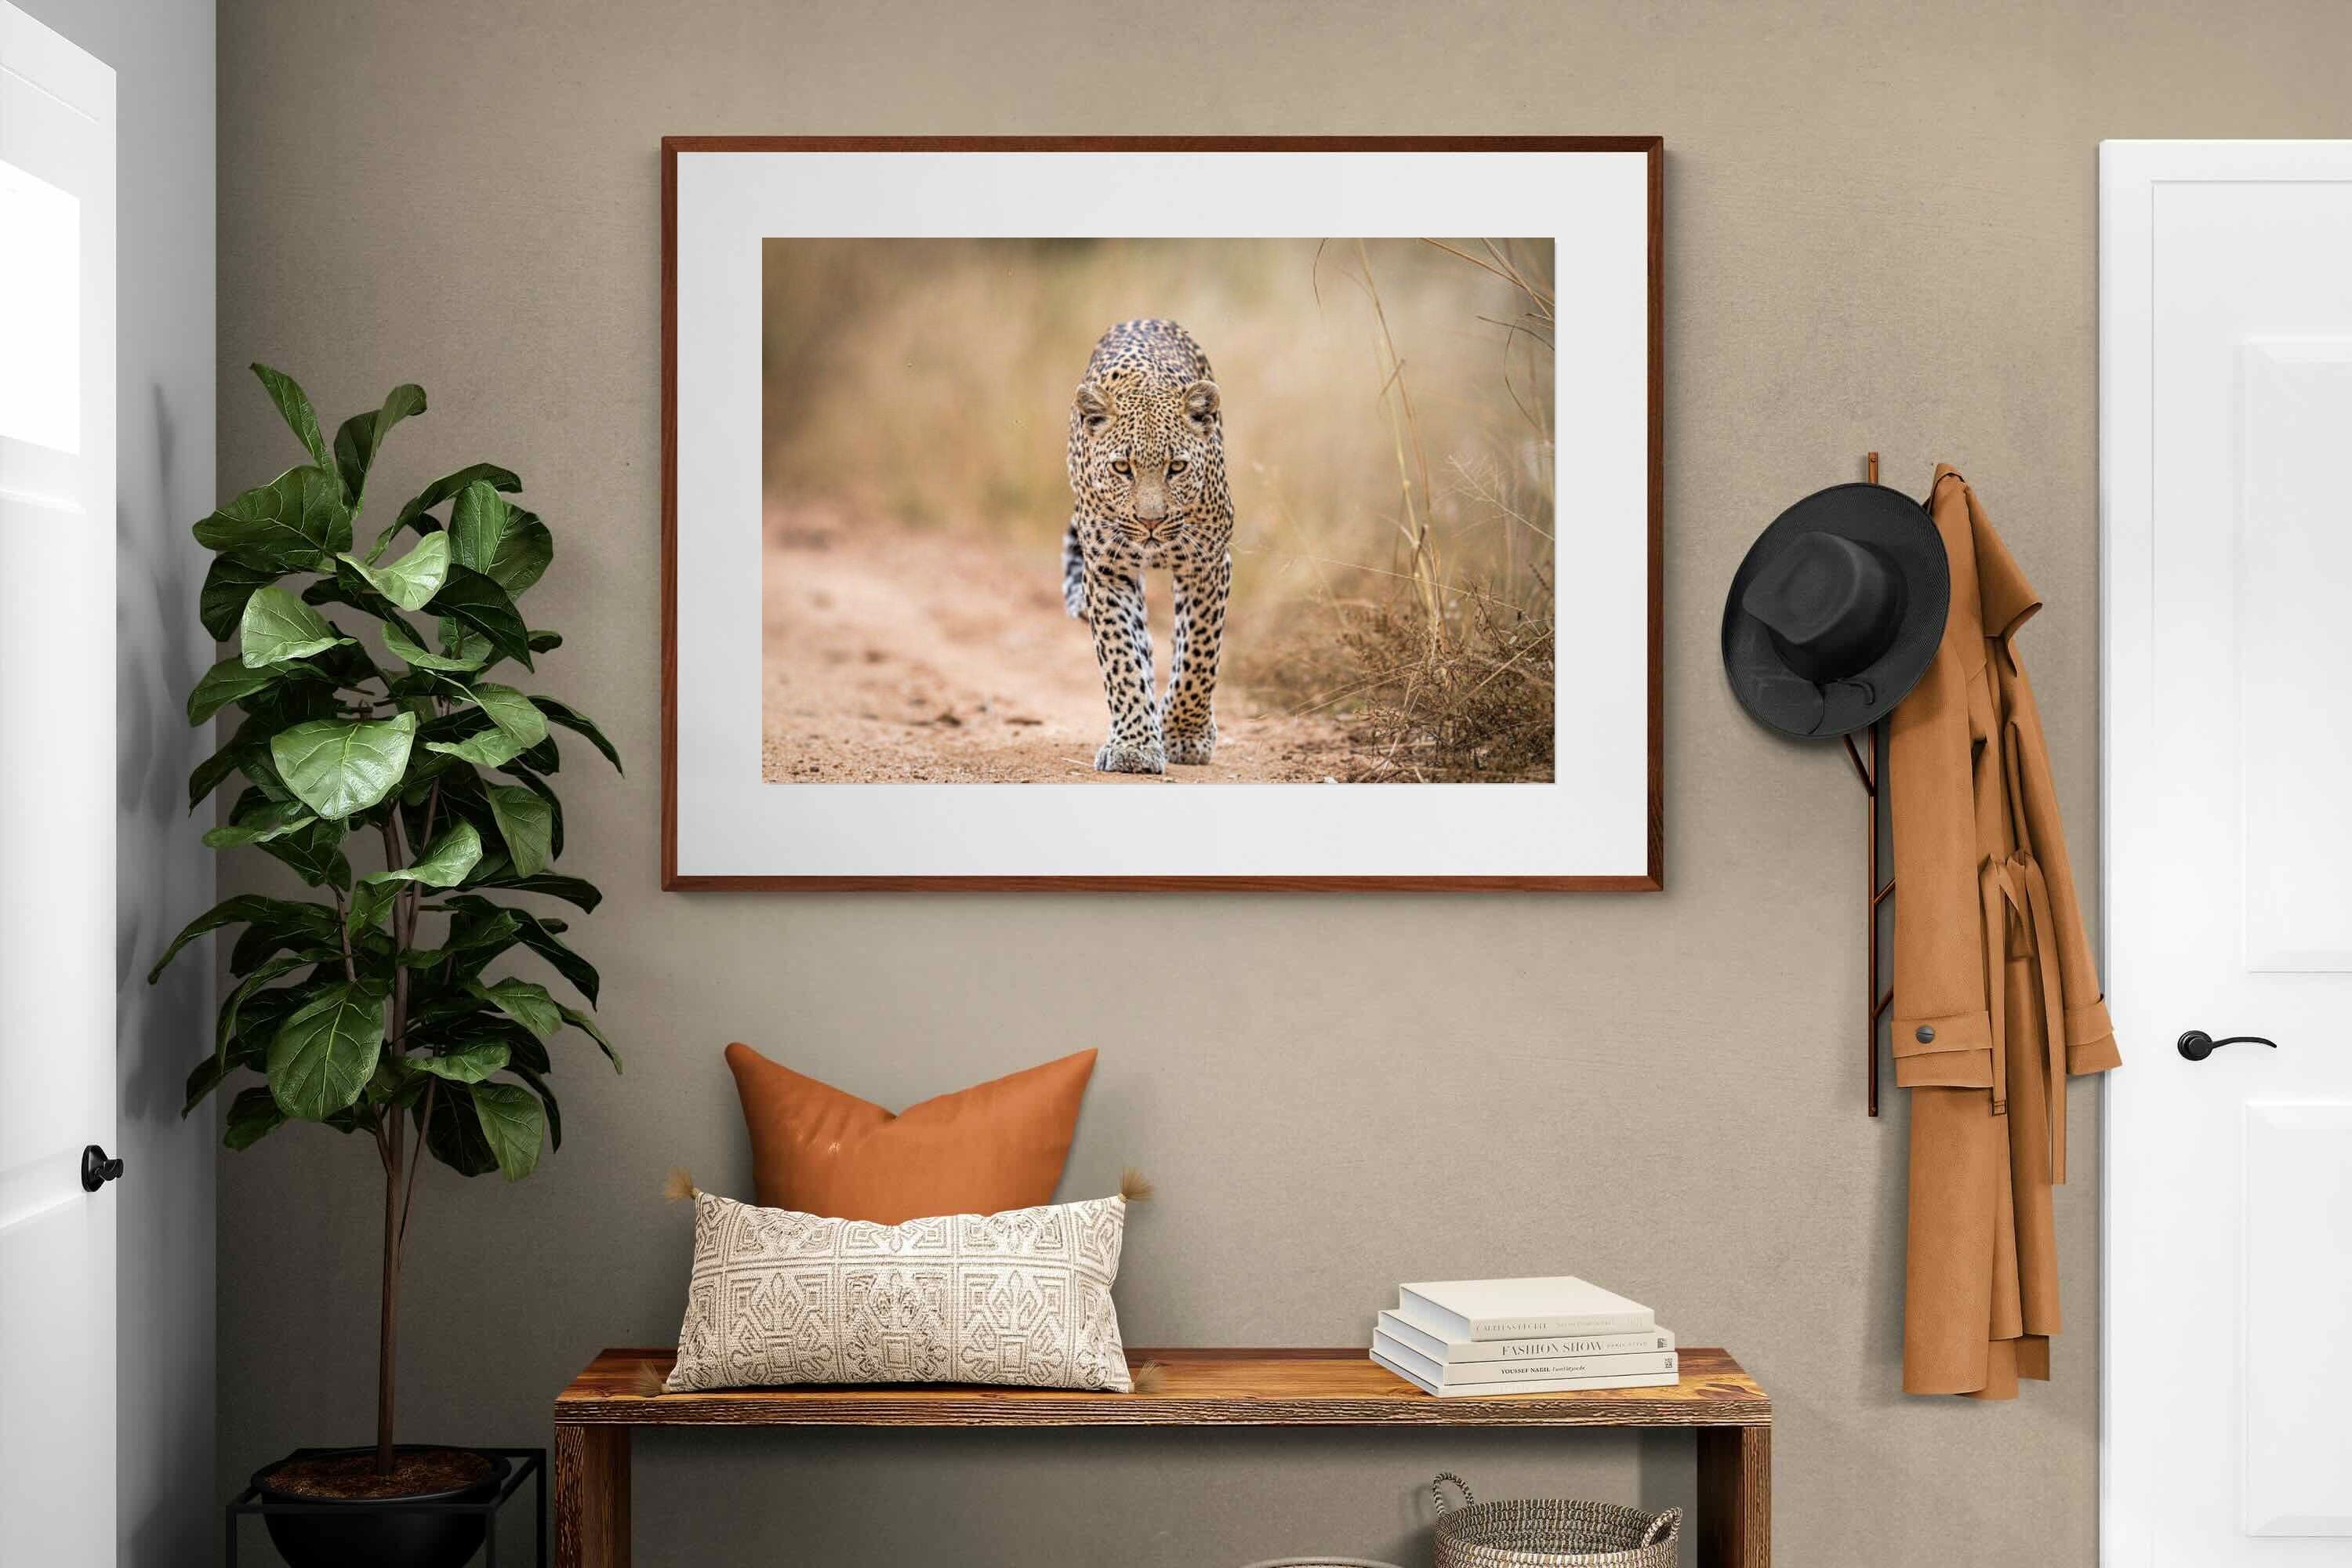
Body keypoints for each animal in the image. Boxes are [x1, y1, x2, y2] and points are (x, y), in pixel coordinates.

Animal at [1061, 319, 1234, 775]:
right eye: (1123, 468)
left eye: (1177, 467)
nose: (1151, 521)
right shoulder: (1107, 571)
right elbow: (1122, 657)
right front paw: (1134, 746)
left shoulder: (1208, 564)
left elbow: (1198, 655)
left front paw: (1185, 735)